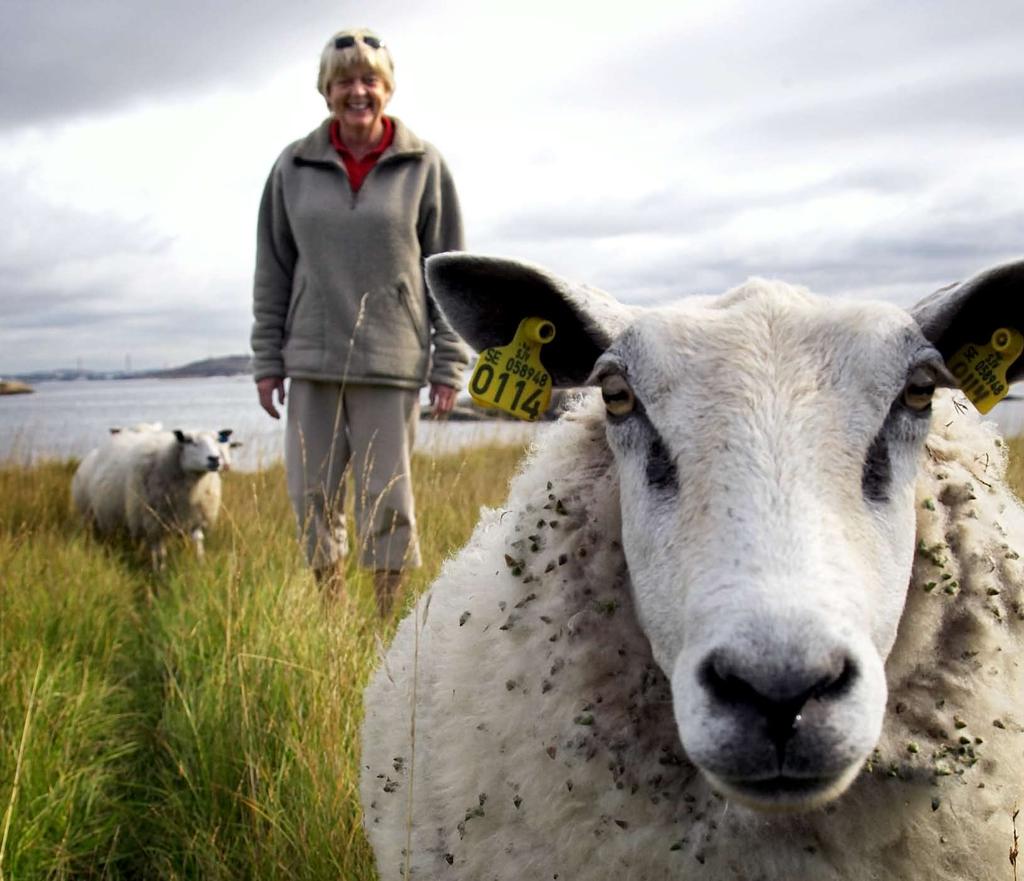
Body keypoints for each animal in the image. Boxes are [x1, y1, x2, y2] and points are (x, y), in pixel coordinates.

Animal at [72, 428, 234, 569]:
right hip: (90, 515)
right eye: (189, 441)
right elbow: (160, 552)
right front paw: (159, 572)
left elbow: (198, 544)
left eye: (217, 440)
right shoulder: (154, 524)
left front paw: (201, 566)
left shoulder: (195, 520)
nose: (215, 459)